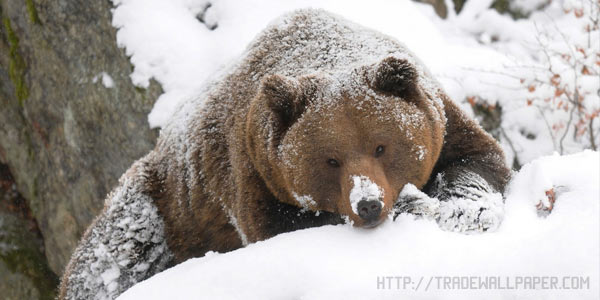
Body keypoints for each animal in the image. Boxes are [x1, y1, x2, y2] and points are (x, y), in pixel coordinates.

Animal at [58, 8, 510, 298]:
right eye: (331, 159)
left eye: (382, 146)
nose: (368, 204)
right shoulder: (253, 170)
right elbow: (282, 226)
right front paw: (413, 205)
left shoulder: (443, 121)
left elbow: (478, 161)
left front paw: (466, 210)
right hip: (165, 204)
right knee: (111, 257)